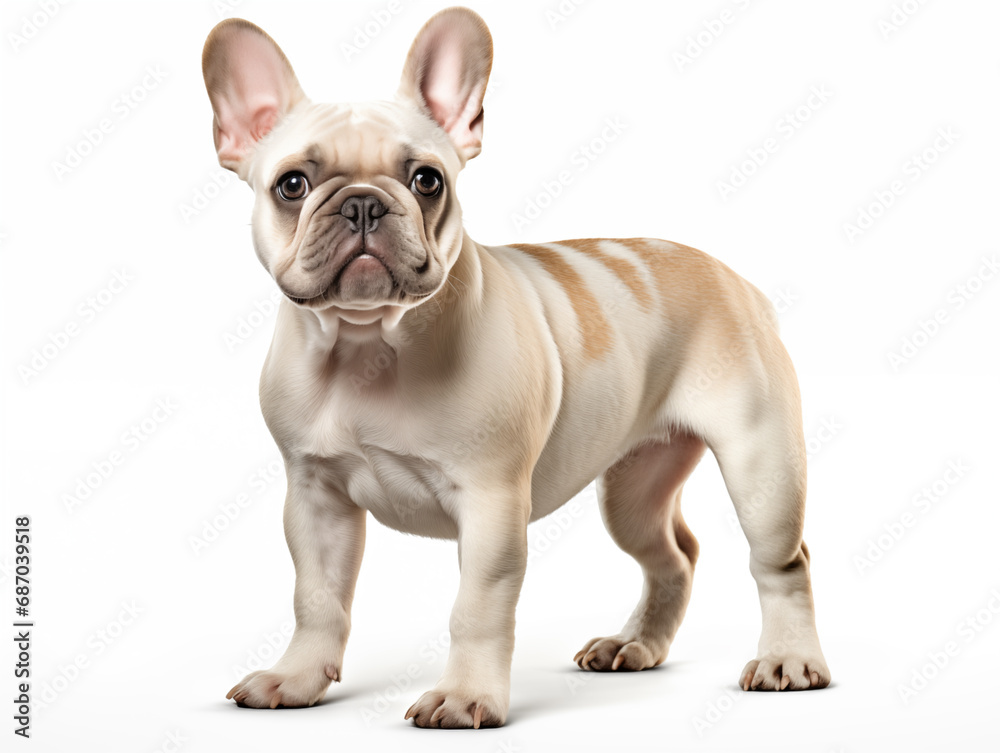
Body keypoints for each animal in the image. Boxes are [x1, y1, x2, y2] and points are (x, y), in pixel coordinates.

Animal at [201, 4, 828, 724]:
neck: (367, 343)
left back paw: (789, 659)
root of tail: (735, 278)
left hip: (762, 468)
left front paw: (465, 695)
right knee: (673, 554)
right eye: (292, 185)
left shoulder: (491, 500)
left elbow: (477, 607)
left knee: (782, 560)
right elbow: (316, 597)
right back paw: (634, 644)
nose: (362, 201)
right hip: (633, 488)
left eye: (427, 180)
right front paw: (297, 677)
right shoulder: (314, 497)